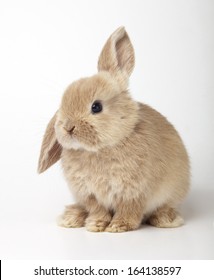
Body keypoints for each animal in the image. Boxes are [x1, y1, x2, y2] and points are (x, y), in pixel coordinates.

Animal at [37, 26, 190, 232]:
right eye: (62, 105)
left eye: (96, 107)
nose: (68, 127)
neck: (99, 149)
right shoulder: (90, 195)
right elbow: (98, 210)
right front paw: (95, 225)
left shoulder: (134, 193)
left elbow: (129, 210)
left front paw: (118, 226)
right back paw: (71, 218)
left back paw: (167, 220)